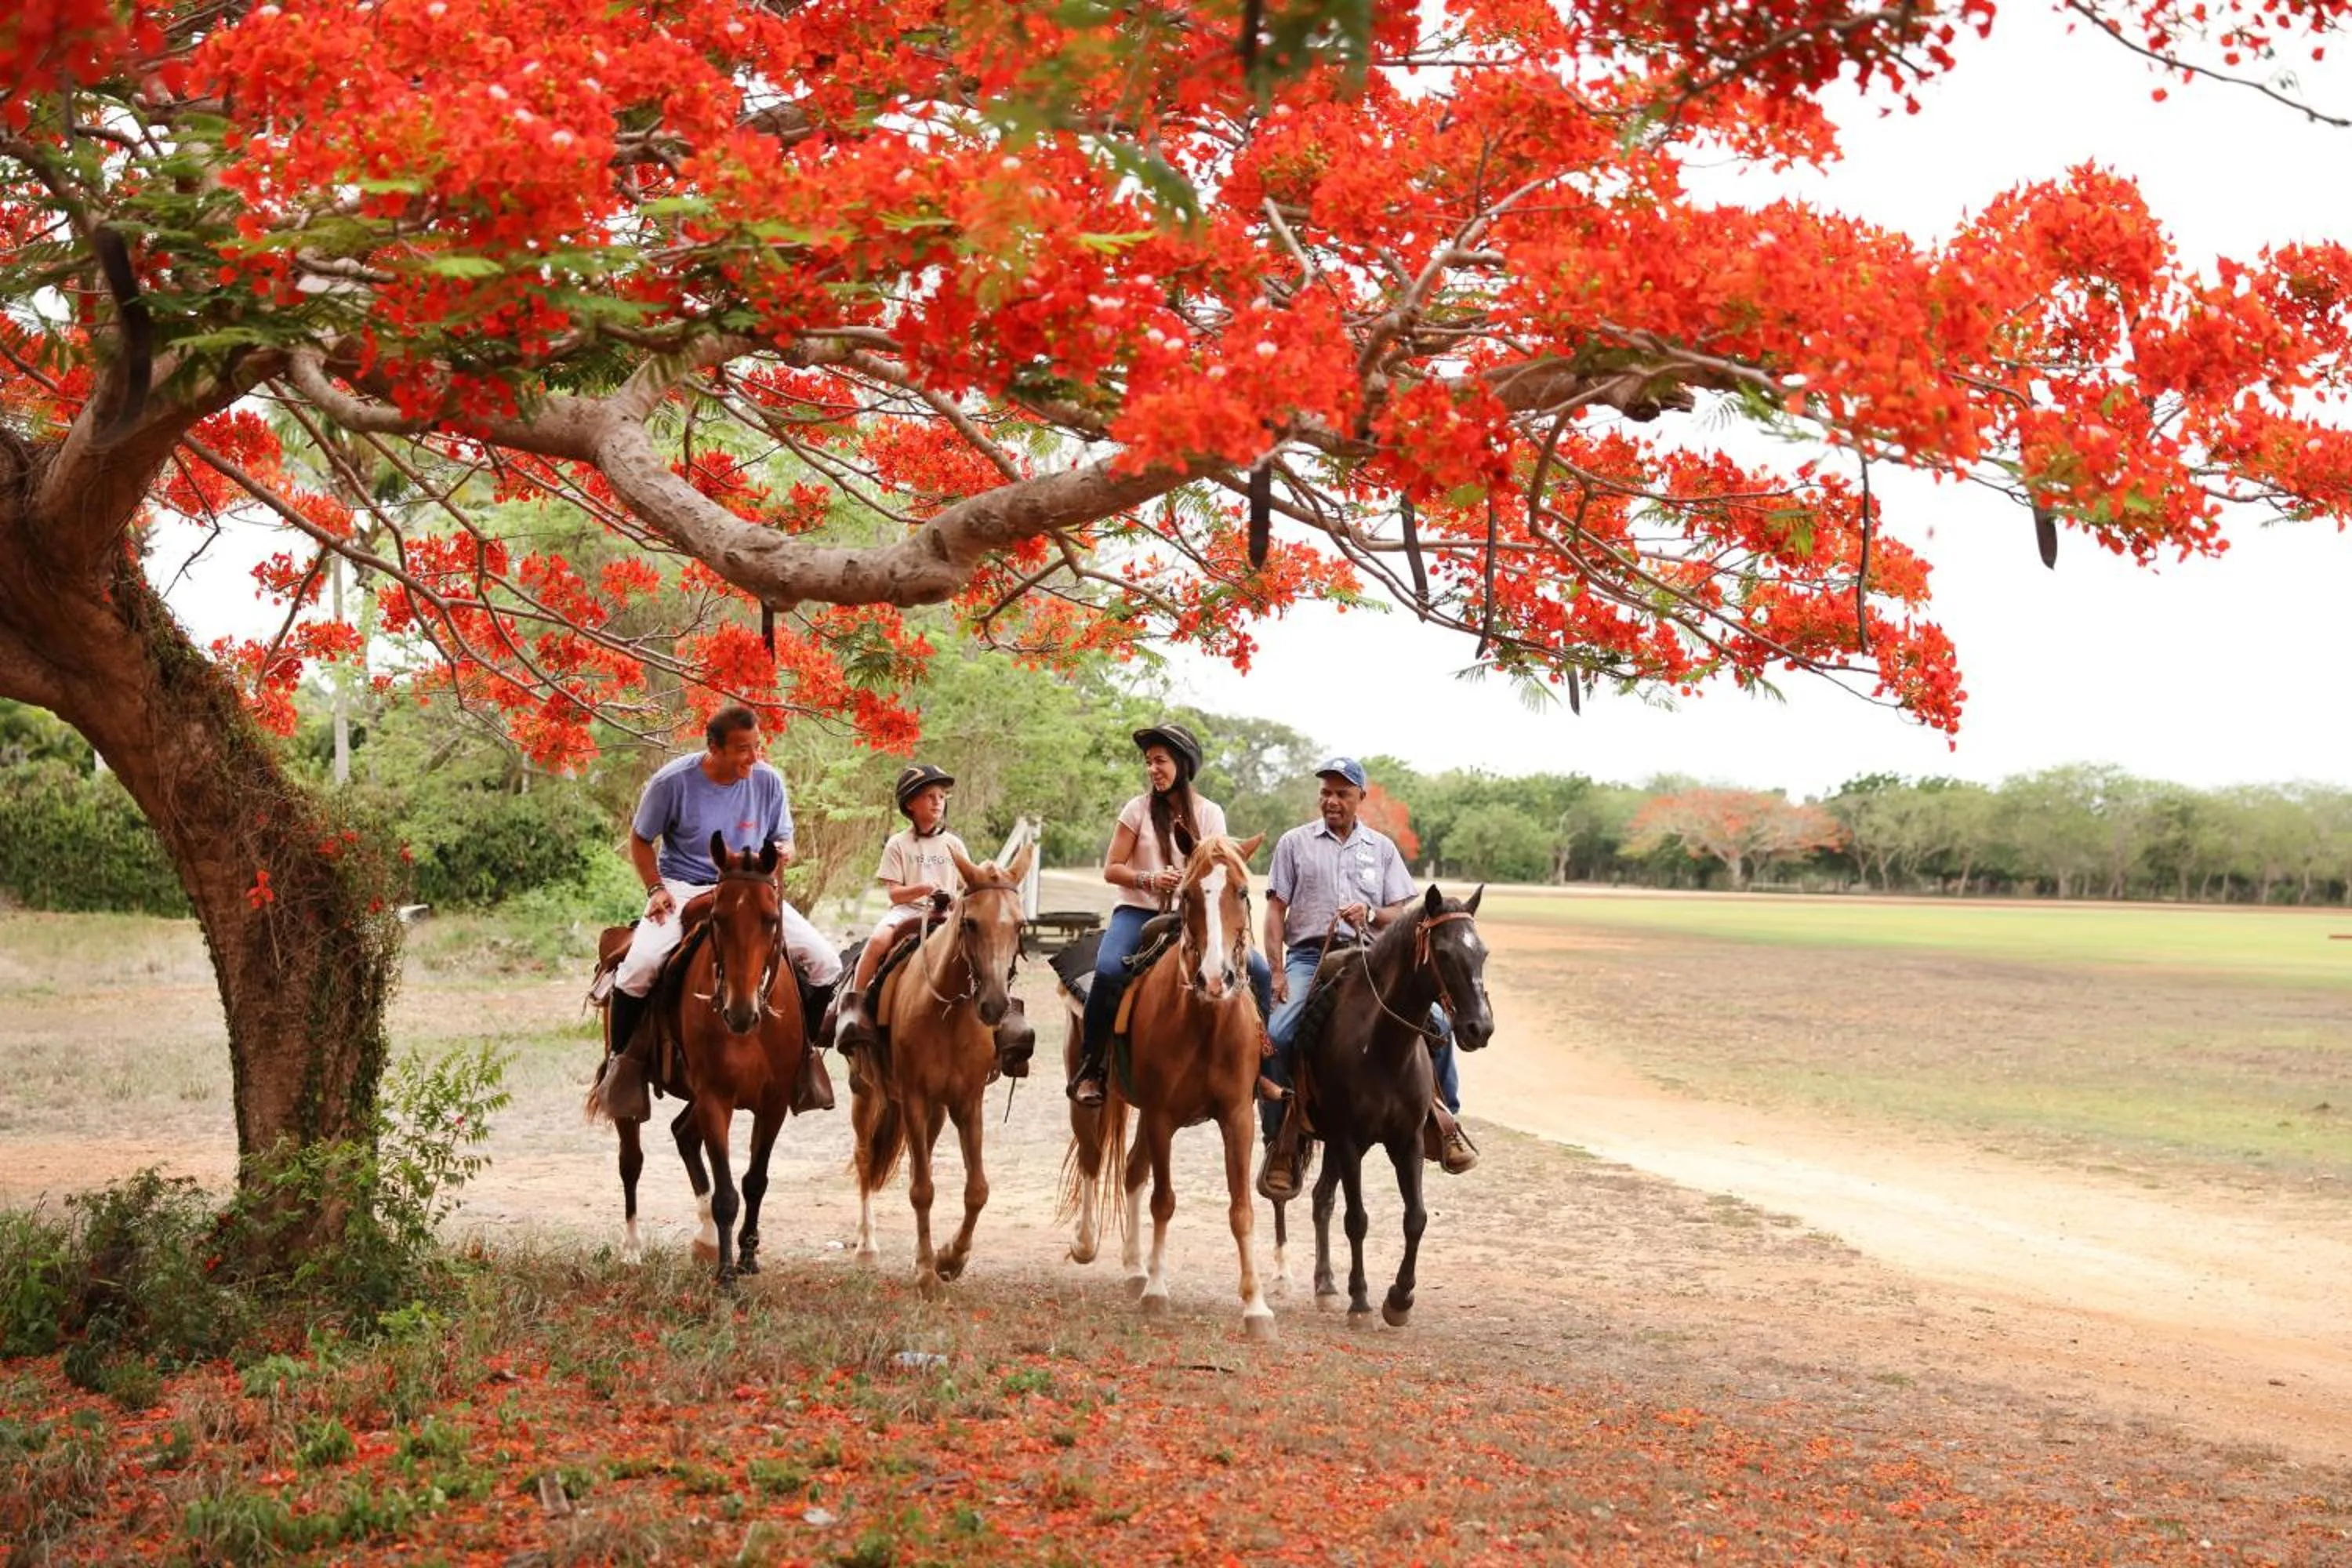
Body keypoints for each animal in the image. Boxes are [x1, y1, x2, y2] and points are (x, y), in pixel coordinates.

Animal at [603, 832, 808, 1286]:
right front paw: (727, 1276)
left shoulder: (773, 1104)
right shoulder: (716, 1099)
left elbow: (755, 1181)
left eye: (771, 918)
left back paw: (706, 1238)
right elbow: (727, 1193)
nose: (740, 1011)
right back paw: (633, 1248)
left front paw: (747, 1257)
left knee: (682, 1133)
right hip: (636, 1095)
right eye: (718, 918)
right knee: (631, 1162)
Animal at [843, 840, 1035, 1295]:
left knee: (920, 1157)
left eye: (1020, 925)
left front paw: (950, 1258)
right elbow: (922, 1190)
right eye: (970, 923)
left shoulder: (967, 1102)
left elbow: (977, 1189)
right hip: (867, 1092)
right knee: (865, 1158)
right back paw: (867, 1245)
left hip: (934, 1110)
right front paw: (928, 1273)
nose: (995, 1005)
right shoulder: (913, 1096)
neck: (946, 1013)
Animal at [1064, 833, 1276, 1338]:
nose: (1216, 978)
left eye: (1242, 891)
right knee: (1093, 1160)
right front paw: (1159, 1291)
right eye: (1188, 895)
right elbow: (1164, 1201)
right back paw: (1087, 1243)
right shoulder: (1162, 1116)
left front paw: (1256, 1306)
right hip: (1089, 1097)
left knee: (1131, 1170)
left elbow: (1241, 1209)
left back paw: (1134, 1268)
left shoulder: (1237, 1118)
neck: (1205, 1021)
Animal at [1268, 884, 1491, 1326]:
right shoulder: (1349, 1140)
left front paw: (1400, 1298)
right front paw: (1360, 1300)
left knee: (1321, 1199)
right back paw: (1283, 1273)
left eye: (1483, 953)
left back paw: (1325, 1284)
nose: (1480, 1028)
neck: (1384, 1046)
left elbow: (1416, 1218)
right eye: (1443, 953)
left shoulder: (1408, 1141)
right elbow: (1357, 1220)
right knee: (1281, 1195)